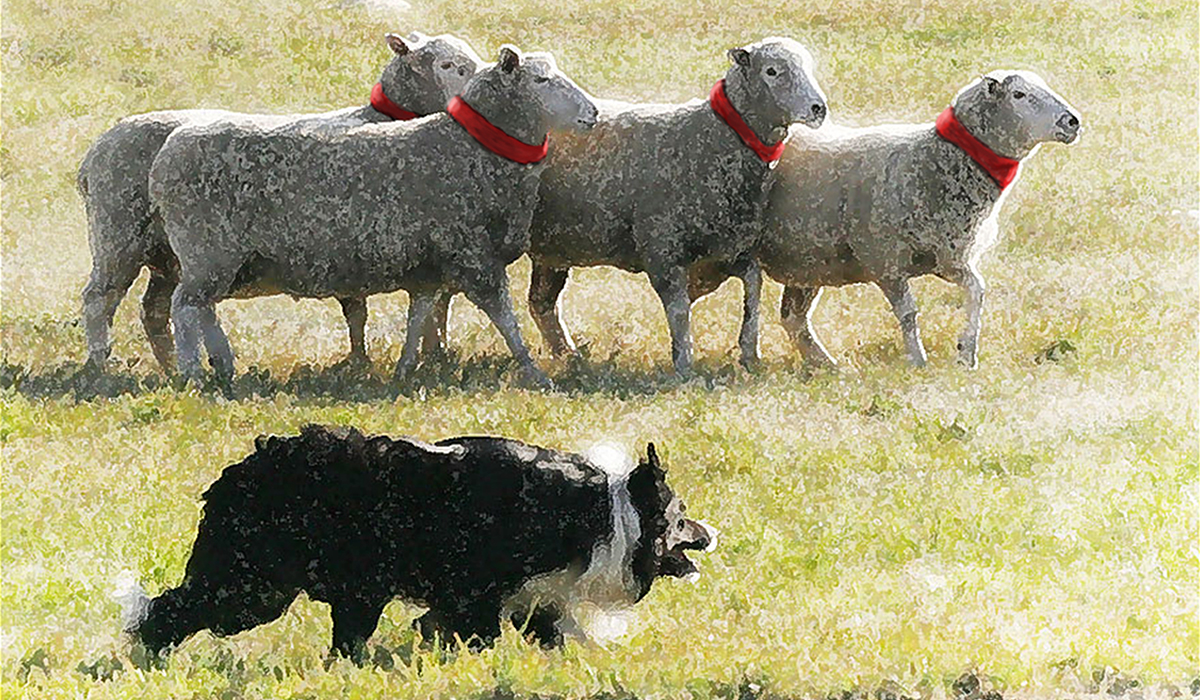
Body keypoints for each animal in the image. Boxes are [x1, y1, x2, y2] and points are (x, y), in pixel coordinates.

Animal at [71, 31, 477, 372]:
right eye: (447, 66)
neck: (377, 117)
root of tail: (93, 155)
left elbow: (375, 310)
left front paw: (396, 356)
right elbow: (372, 307)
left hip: (165, 256)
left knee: (154, 308)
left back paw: (169, 365)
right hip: (121, 236)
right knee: (101, 298)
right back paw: (103, 361)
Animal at [114, 425, 710, 657]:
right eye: (683, 519)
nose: (713, 534)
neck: (602, 511)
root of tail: (239, 472)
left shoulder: (528, 598)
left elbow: (556, 635)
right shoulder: (475, 594)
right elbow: (477, 636)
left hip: (328, 594)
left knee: (346, 642)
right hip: (249, 592)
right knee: (168, 609)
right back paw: (148, 654)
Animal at [151, 45, 600, 389]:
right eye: (540, 80)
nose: (593, 113)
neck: (472, 148)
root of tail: (166, 156)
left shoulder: (429, 265)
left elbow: (418, 317)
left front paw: (404, 369)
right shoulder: (474, 255)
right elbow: (506, 321)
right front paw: (536, 372)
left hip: (220, 259)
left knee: (203, 309)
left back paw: (224, 366)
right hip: (209, 248)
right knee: (183, 308)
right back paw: (192, 374)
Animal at [744, 68, 1084, 369]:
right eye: (1019, 94)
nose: (1072, 121)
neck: (937, 159)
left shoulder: (948, 259)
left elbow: (977, 290)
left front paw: (966, 352)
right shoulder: (885, 261)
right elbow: (908, 313)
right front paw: (918, 360)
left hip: (808, 257)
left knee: (793, 319)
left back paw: (827, 366)